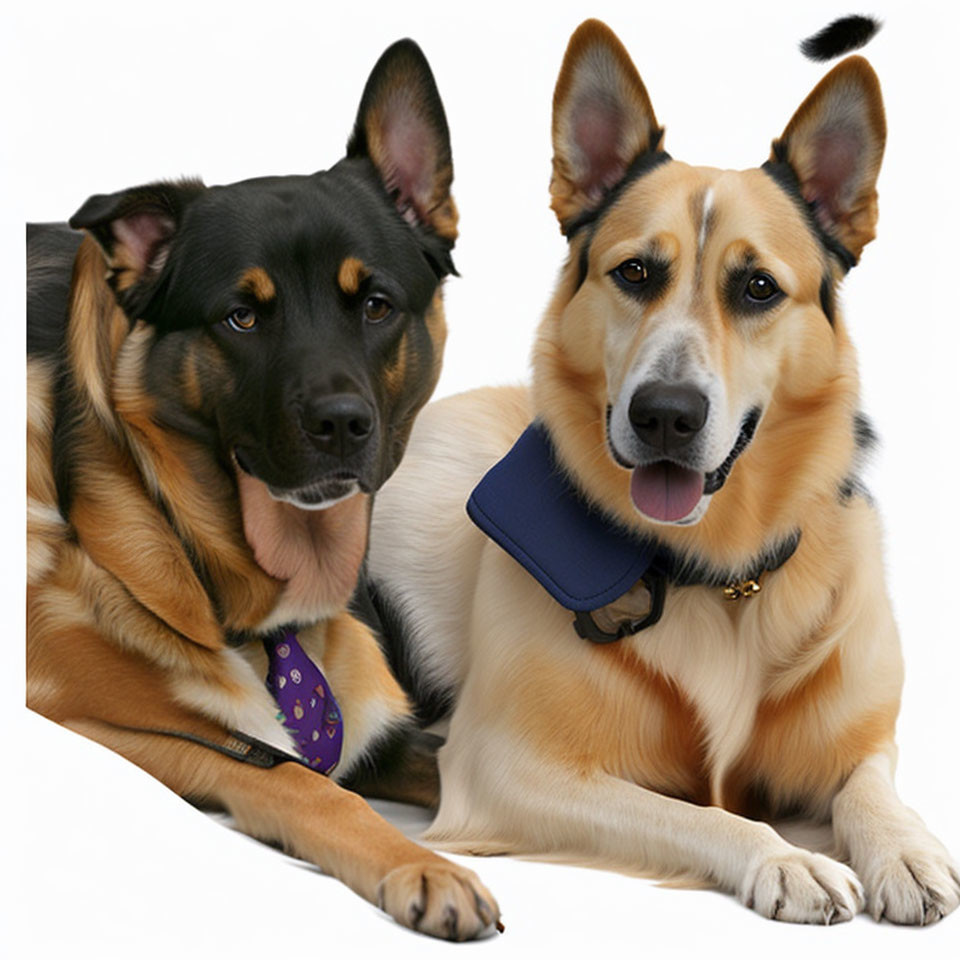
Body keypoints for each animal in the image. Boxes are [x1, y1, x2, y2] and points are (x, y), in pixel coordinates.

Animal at [368, 20, 960, 924]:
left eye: (758, 288)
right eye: (635, 273)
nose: (666, 416)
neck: (721, 578)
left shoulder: (864, 737)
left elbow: (869, 781)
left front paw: (905, 847)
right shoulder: (507, 770)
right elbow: (696, 813)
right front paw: (787, 858)